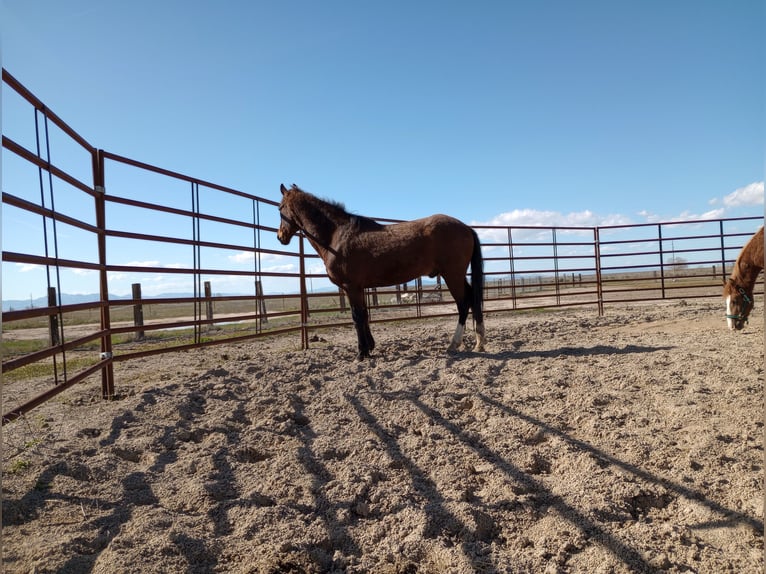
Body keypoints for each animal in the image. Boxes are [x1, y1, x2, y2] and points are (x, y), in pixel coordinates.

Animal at [280, 183, 488, 360]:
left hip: (452, 275)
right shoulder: (358, 288)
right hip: (457, 275)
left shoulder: (351, 287)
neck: (336, 236)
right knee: (472, 298)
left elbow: (357, 316)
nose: (280, 236)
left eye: (280, 209)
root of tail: (466, 228)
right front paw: (370, 347)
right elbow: (364, 314)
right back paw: (479, 342)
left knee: (463, 303)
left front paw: (361, 353)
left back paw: (454, 344)